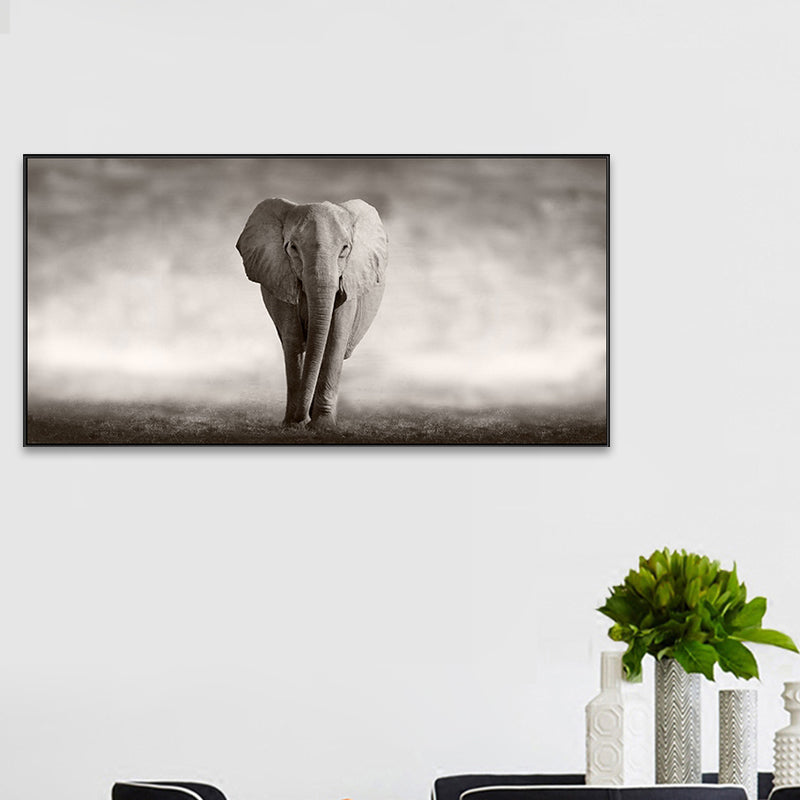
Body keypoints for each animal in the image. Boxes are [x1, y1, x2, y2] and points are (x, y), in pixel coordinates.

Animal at [236, 198, 388, 428]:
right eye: (293, 248)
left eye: (345, 249)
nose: (302, 419)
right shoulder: (282, 279)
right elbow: (293, 340)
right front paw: (293, 425)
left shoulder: (349, 283)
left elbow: (335, 339)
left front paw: (322, 426)